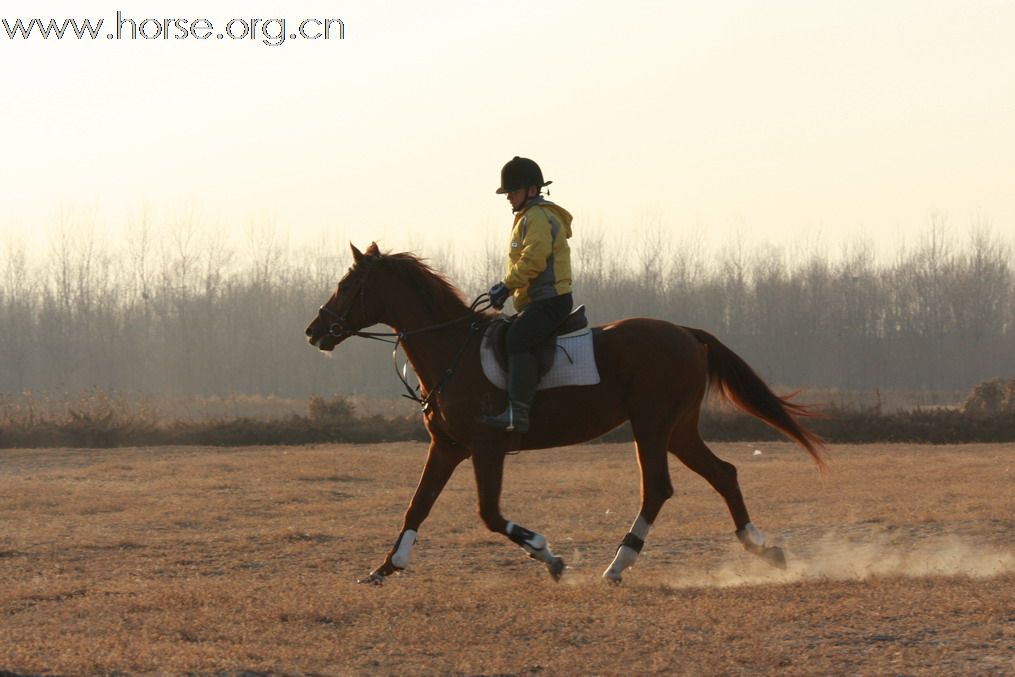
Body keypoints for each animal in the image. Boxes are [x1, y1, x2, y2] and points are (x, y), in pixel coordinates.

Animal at [304, 242, 820, 584]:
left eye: (347, 285)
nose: (314, 331)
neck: (453, 351)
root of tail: (686, 333)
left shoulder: (487, 448)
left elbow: (490, 514)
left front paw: (546, 554)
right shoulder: (447, 447)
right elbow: (418, 504)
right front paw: (387, 566)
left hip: (652, 425)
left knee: (658, 487)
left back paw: (618, 564)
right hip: (677, 429)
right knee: (723, 473)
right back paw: (763, 549)